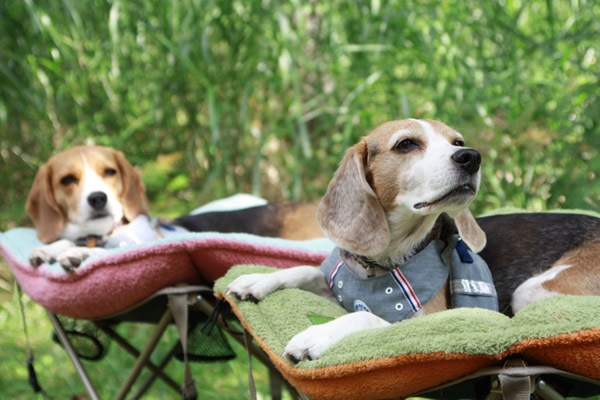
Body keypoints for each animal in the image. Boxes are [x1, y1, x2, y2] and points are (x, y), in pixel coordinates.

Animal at [225, 119, 488, 362]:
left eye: (457, 142)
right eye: (406, 144)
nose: (471, 156)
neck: (380, 262)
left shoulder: (429, 321)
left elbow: (364, 315)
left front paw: (316, 335)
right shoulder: (337, 293)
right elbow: (305, 270)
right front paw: (259, 280)